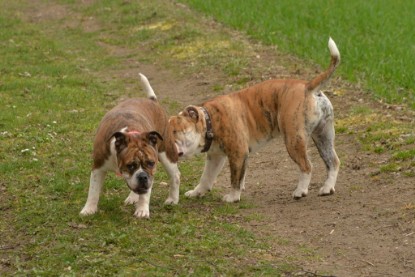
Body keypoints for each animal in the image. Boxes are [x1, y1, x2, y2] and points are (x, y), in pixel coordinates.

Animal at [79, 74, 180, 218]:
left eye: (151, 163)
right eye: (130, 165)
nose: (143, 176)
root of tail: (152, 101)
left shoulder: (151, 175)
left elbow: (145, 195)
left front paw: (142, 210)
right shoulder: (98, 167)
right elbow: (93, 191)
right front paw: (89, 209)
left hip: (167, 153)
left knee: (175, 175)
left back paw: (172, 199)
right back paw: (133, 197)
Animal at [169, 37, 342, 202]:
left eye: (175, 131)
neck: (210, 120)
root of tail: (307, 87)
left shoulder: (237, 153)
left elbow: (235, 178)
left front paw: (232, 197)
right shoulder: (215, 157)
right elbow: (206, 177)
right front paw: (196, 192)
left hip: (293, 139)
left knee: (307, 166)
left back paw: (300, 191)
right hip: (323, 135)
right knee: (332, 161)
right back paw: (327, 188)